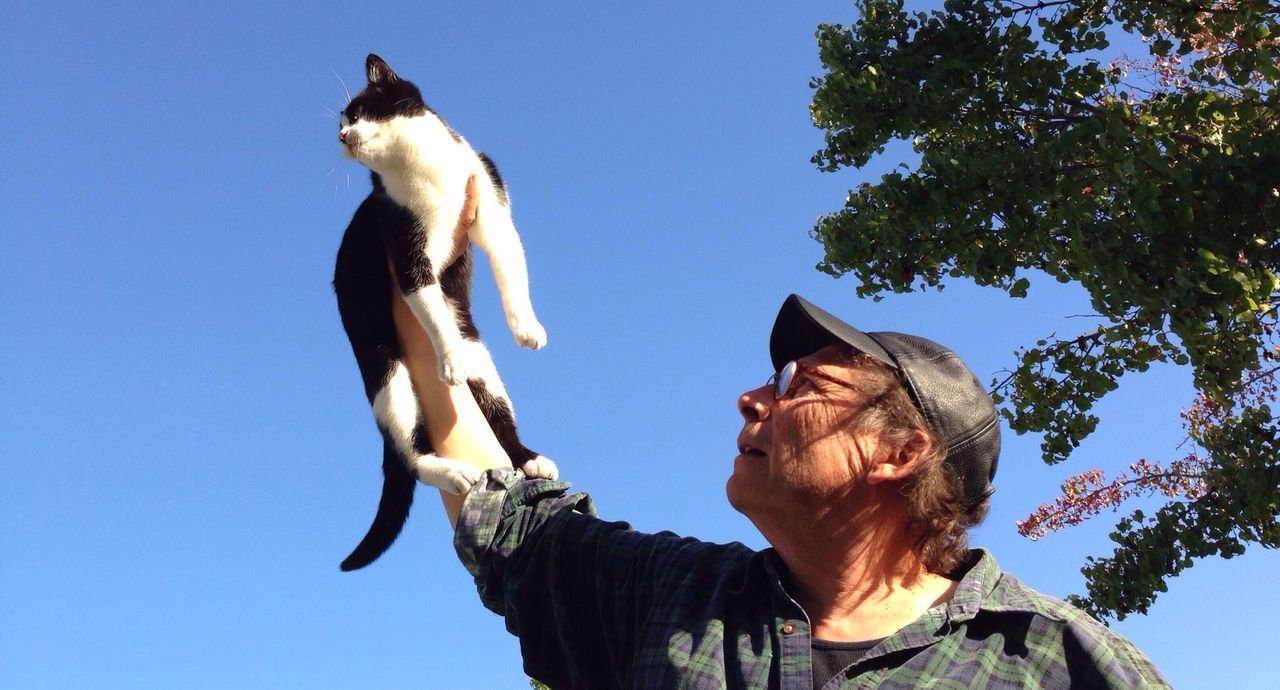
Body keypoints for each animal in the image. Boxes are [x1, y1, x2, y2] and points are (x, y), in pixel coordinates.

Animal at [332, 54, 552, 573]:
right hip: (387, 373)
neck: (423, 170)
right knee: (411, 454)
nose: (342, 136)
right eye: (340, 122)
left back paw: (529, 457)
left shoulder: (489, 200)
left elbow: (512, 267)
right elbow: (431, 307)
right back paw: (452, 471)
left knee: (497, 416)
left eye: (358, 111)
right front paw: (448, 359)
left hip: (485, 366)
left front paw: (526, 327)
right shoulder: (405, 248)